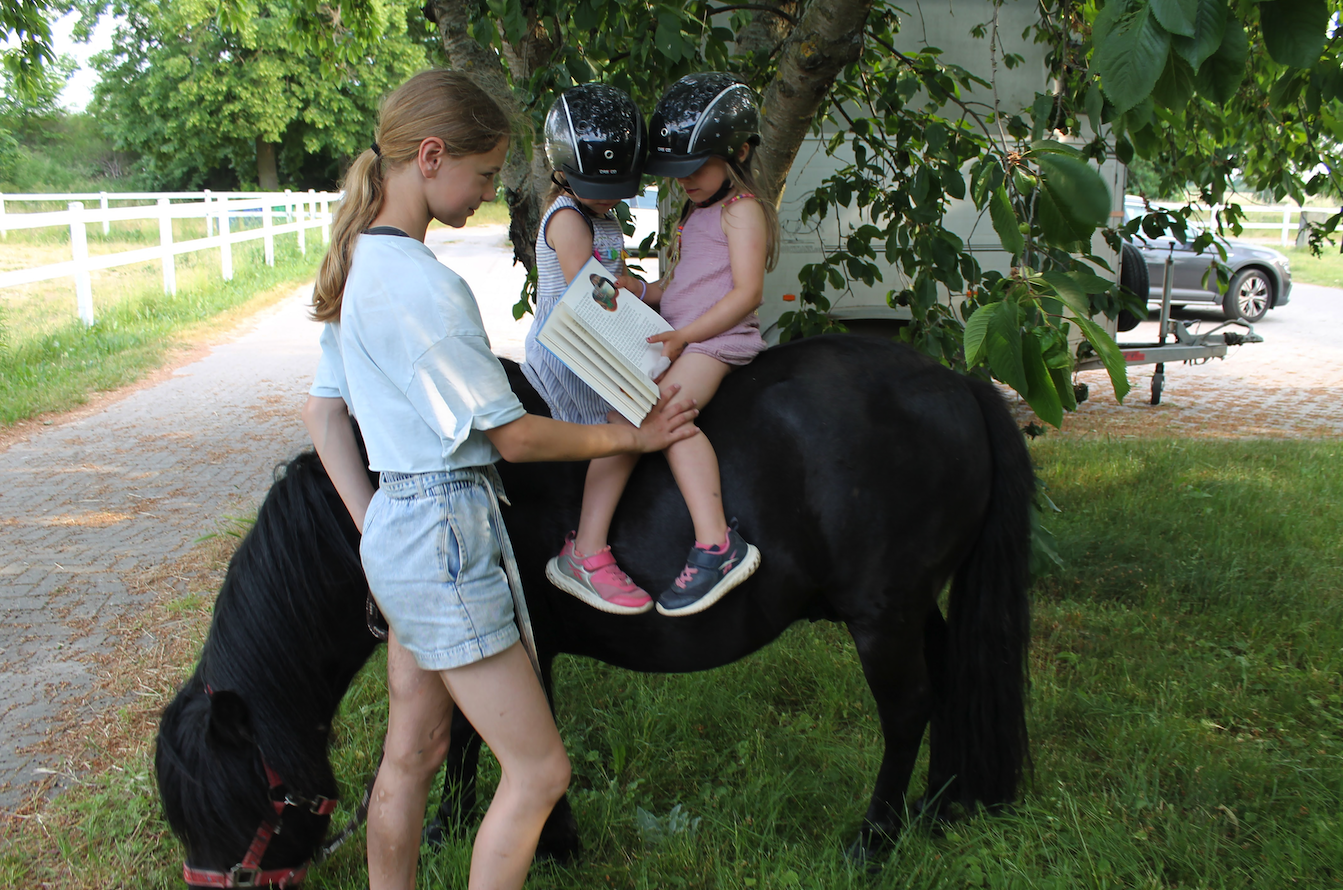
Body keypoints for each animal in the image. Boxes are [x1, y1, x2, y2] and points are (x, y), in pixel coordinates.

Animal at [159, 335, 1036, 885]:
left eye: (234, 802)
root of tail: (958, 383)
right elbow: (467, 744)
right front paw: (461, 826)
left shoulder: (510, 648)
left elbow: (489, 745)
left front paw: (544, 842)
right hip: (913, 607)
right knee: (949, 682)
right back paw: (944, 804)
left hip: (881, 616)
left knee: (908, 709)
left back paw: (874, 839)